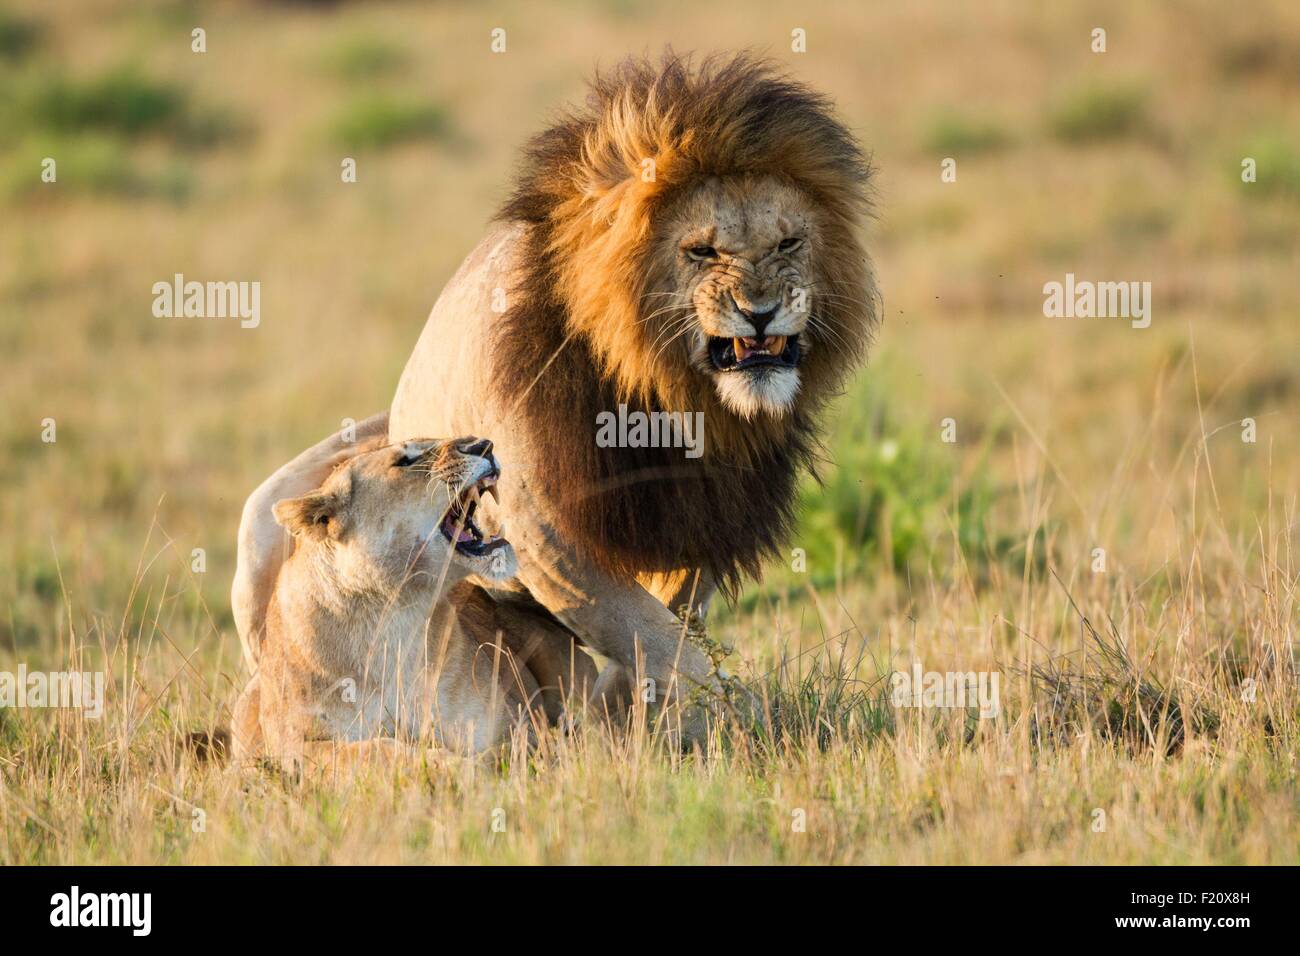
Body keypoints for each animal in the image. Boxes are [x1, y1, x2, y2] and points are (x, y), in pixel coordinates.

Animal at [236, 54, 883, 738]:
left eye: (787, 243)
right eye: (702, 251)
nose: (759, 313)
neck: (669, 398)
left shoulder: (707, 518)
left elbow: (666, 631)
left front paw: (635, 720)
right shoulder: (549, 541)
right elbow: (656, 637)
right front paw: (752, 720)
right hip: (259, 538)